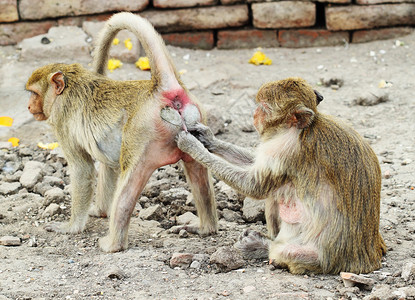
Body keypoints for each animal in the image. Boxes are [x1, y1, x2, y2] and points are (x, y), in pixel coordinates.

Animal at [26, 11, 218, 252]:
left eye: (34, 93)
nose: (29, 107)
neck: (70, 85)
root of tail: (163, 90)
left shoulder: (61, 122)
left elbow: (83, 169)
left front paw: (70, 227)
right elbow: (108, 165)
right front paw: (99, 211)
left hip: (142, 134)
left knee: (130, 182)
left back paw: (113, 243)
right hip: (194, 126)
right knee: (198, 172)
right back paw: (206, 228)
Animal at [176, 77, 386, 274]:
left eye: (264, 107)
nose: (254, 114)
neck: (300, 129)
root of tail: (365, 260)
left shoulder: (284, 150)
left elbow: (254, 186)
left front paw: (194, 147)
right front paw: (208, 139)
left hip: (320, 258)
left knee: (285, 245)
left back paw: (262, 247)